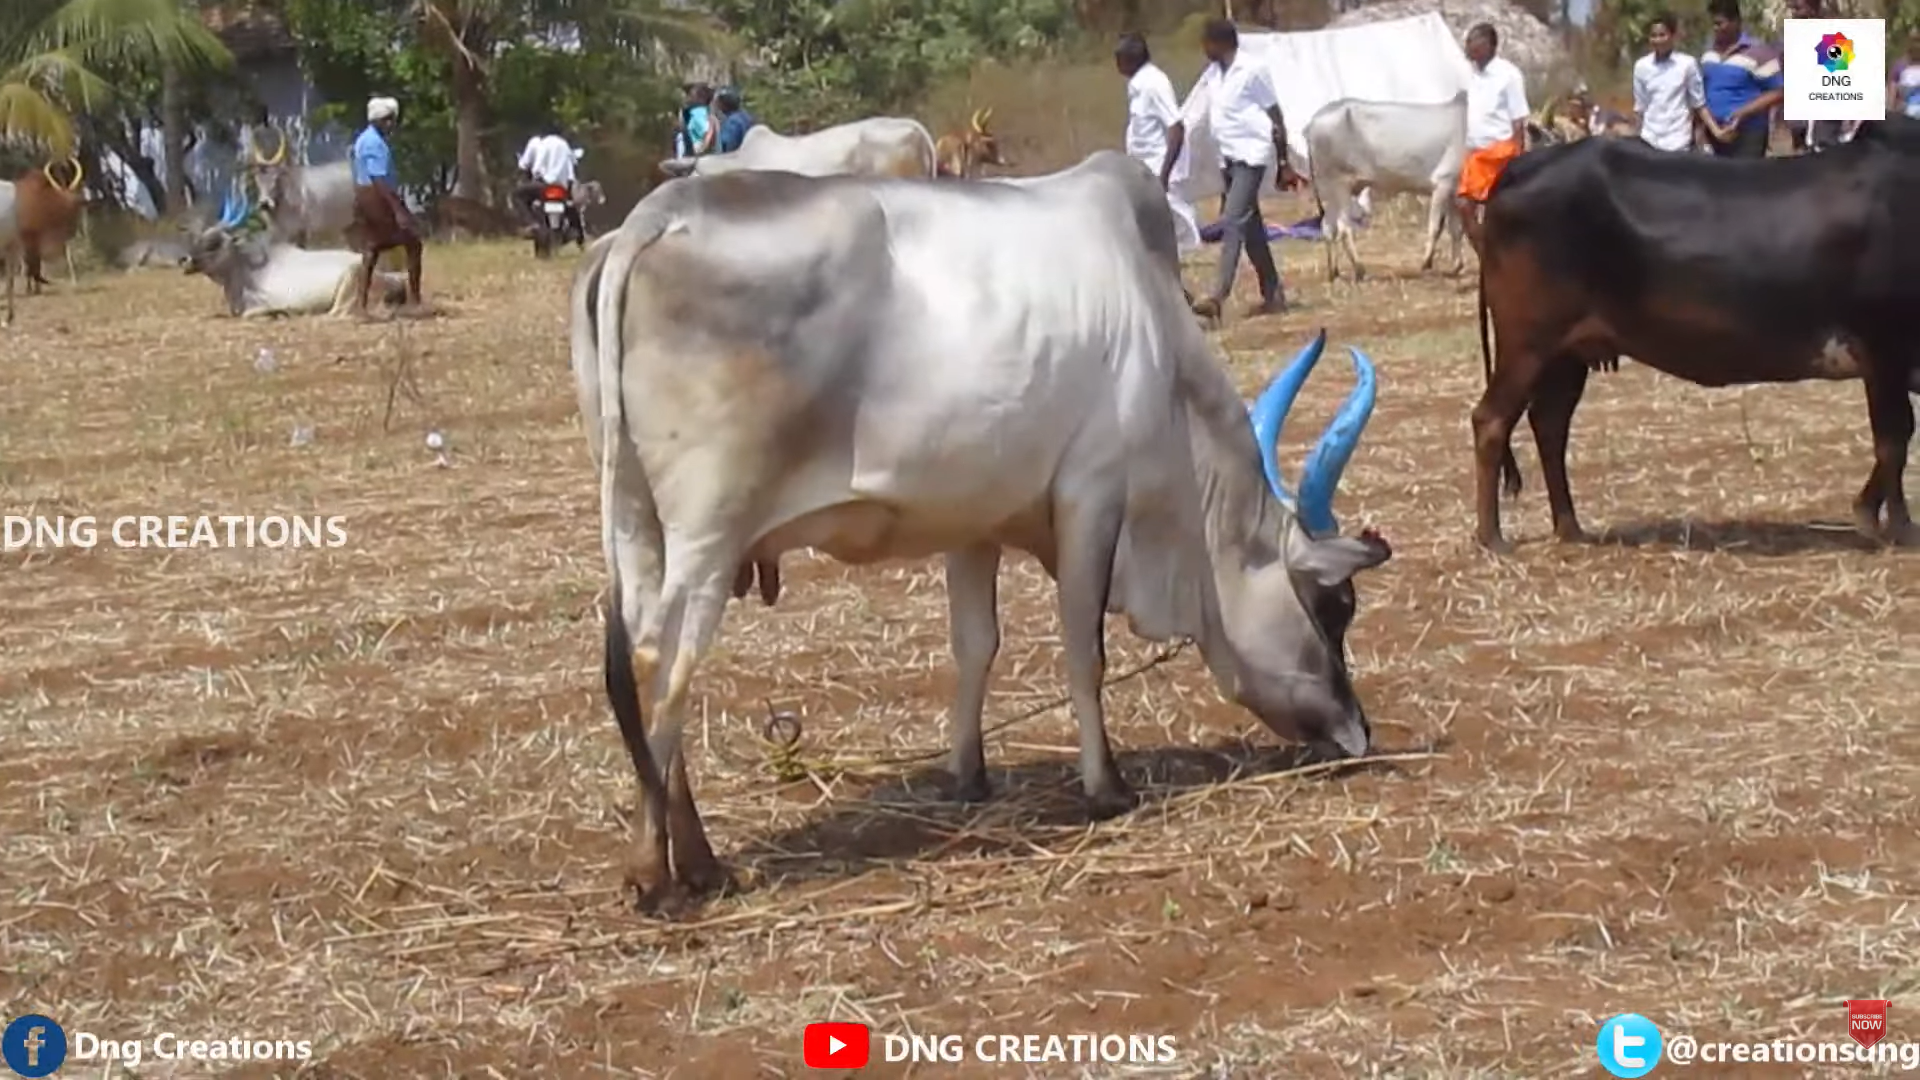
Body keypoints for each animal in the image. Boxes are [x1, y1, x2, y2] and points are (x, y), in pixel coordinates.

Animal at [569, 151, 1392, 906]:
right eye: (1335, 606)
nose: (1357, 733)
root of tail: (660, 213)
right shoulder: (1092, 495)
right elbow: (1083, 652)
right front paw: (1106, 787)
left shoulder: (974, 523)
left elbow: (975, 646)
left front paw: (967, 774)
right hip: (708, 532)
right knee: (662, 659)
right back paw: (663, 869)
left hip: (639, 522)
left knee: (644, 653)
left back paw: (695, 858)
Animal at [1302, 97, 1467, 283]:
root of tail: (1312, 123)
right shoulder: (1443, 182)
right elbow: (1436, 227)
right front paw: (1426, 263)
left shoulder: (1453, 192)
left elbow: (1456, 229)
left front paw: (1457, 266)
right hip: (1340, 184)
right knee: (1344, 229)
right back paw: (1359, 269)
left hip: (1333, 190)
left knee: (1328, 226)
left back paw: (1334, 272)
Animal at [1472, 129, 1920, 554]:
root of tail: (1527, 162)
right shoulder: (1885, 347)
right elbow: (1894, 439)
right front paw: (1895, 525)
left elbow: (1898, 438)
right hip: (1528, 343)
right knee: (1491, 420)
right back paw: (1492, 537)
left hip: (1566, 354)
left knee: (1550, 425)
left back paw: (1569, 528)